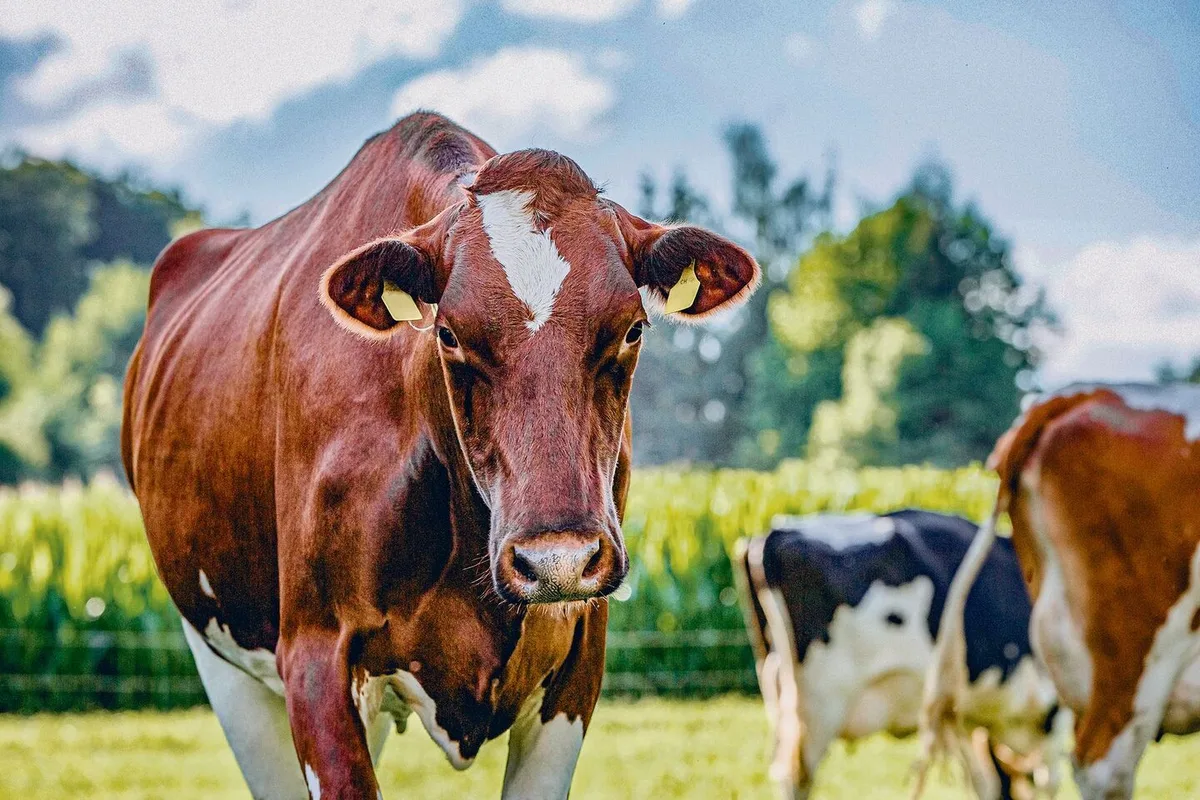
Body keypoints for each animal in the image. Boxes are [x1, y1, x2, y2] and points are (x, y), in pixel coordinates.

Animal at [120, 112, 760, 799]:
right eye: (448, 333)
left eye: (633, 328)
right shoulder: (315, 656)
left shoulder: (578, 656)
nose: (556, 559)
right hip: (223, 659)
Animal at [734, 509, 1061, 800]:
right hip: (821, 704)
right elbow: (1047, 782)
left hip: (780, 694)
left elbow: (988, 783)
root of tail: (773, 535)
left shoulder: (960, 714)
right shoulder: (1055, 708)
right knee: (795, 776)